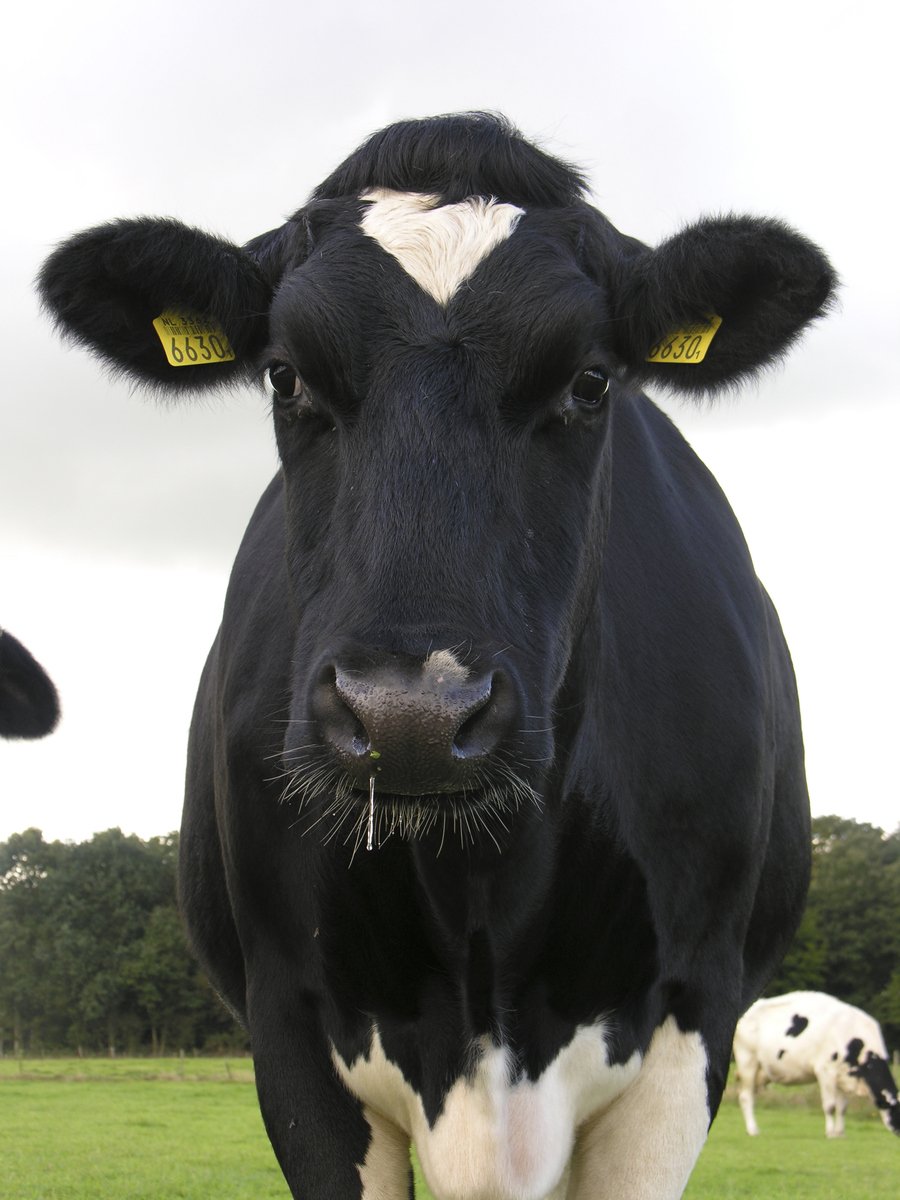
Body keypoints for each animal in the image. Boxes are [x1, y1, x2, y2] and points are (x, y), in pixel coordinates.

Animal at [734, 988, 897, 1137]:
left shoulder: (843, 1075)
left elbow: (842, 1108)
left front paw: (840, 1133)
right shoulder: (825, 1070)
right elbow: (830, 1106)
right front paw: (830, 1133)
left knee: (751, 1096)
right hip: (747, 1061)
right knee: (745, 1097)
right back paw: (753, 1130)